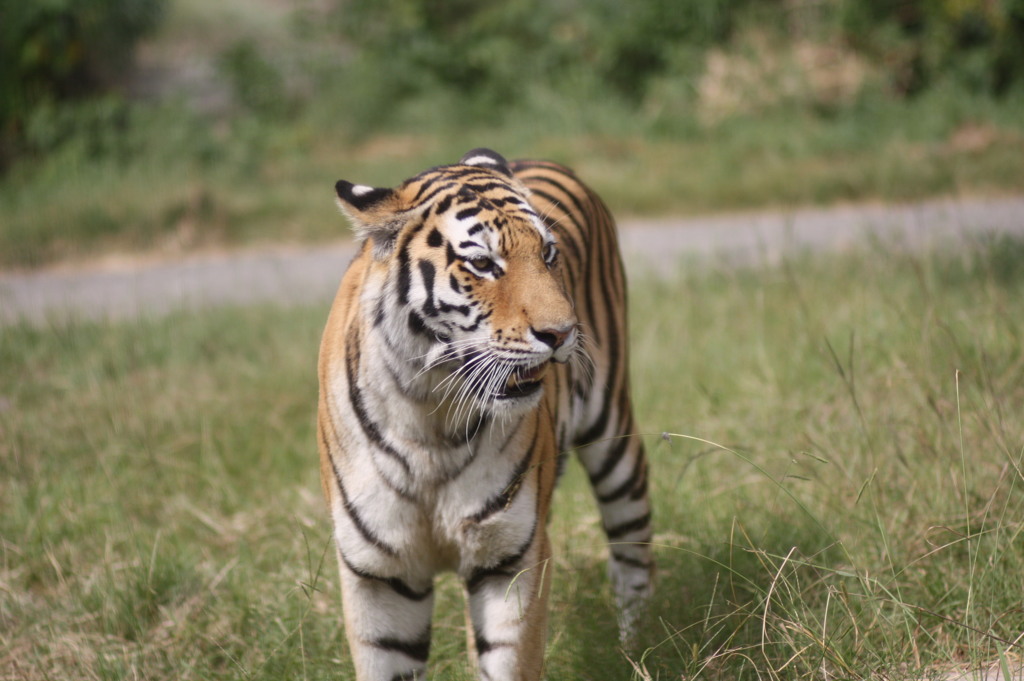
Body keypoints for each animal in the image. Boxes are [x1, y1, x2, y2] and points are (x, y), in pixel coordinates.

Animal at [319, 150, 651, 679]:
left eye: (548, 255)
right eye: (482, 264)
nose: (562, 333)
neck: (429, 414)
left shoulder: (509, 559)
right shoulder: (379, 574)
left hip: (614, 435)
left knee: (633, 550)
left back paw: (632, 645)